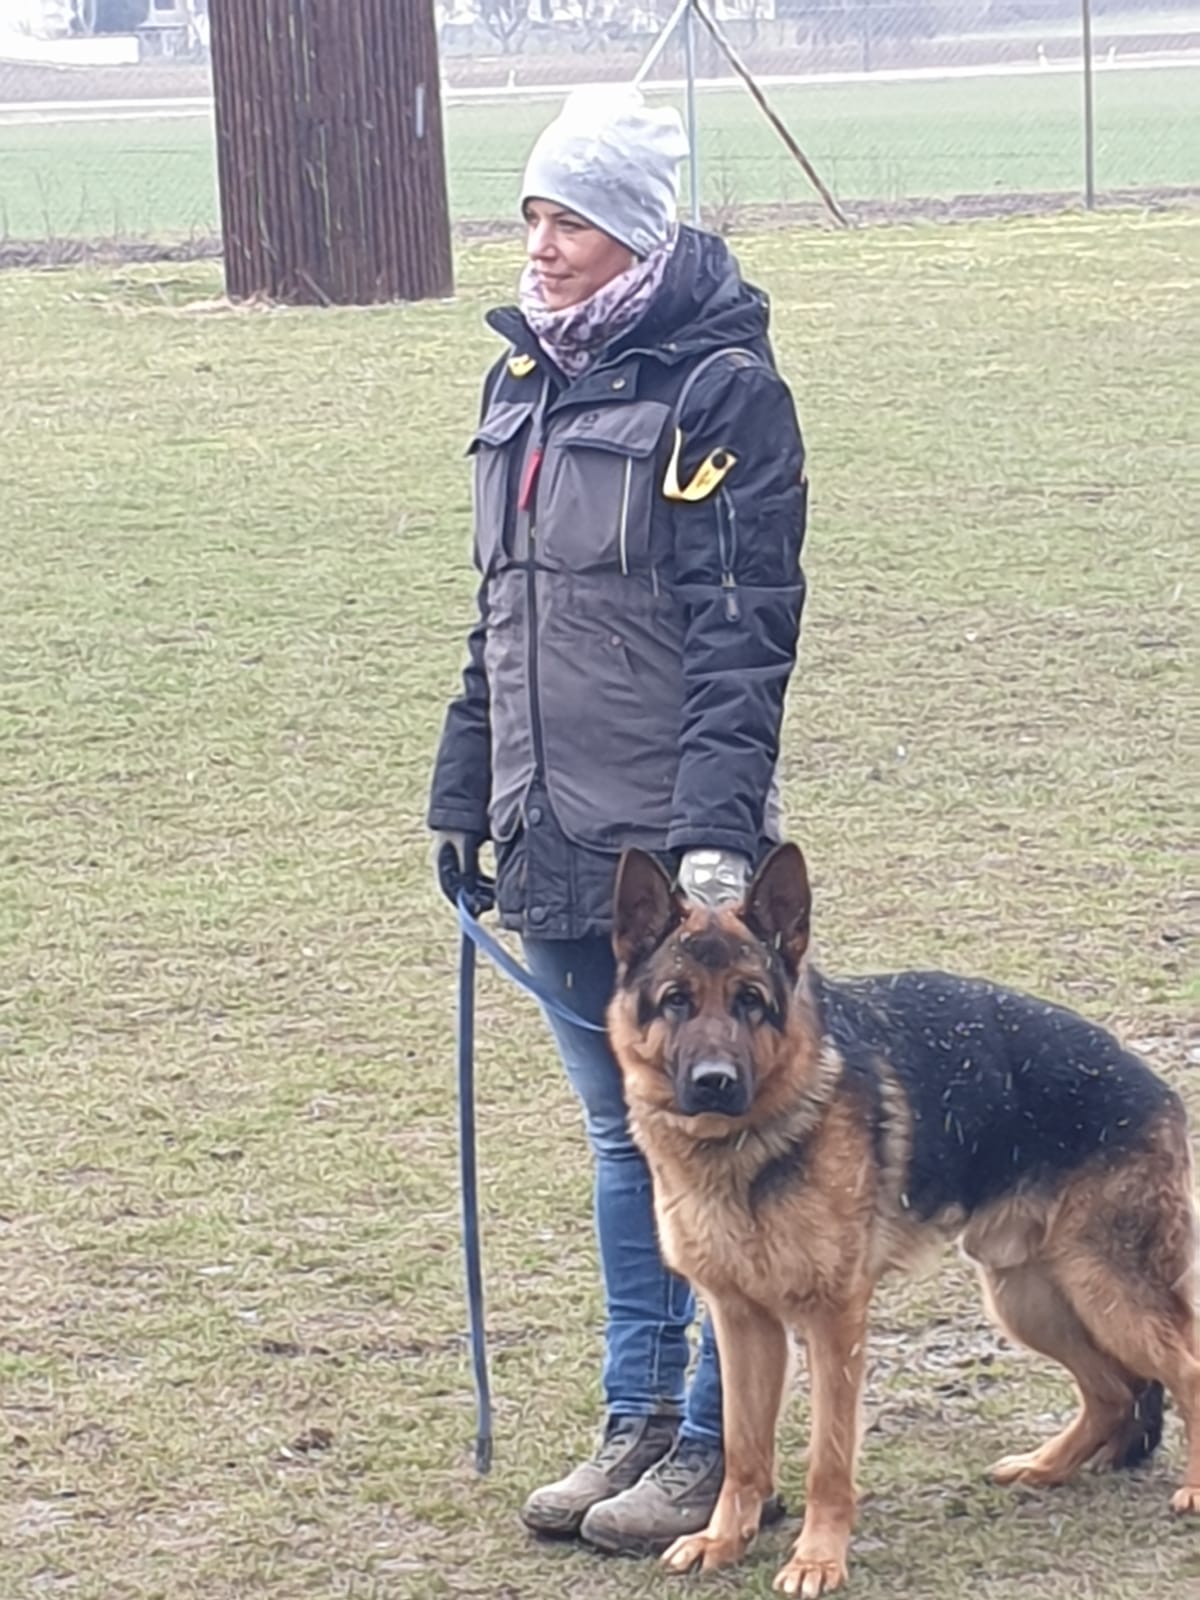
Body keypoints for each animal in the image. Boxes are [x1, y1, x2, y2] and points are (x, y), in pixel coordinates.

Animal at [607, 843, 1199, 1596]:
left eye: (751, 1001)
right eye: (677, 1000)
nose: (715, 1082)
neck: (748, 1146)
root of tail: (1155, 1085)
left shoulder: (834, 1321)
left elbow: (828, 1458)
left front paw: (818, 1558)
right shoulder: (742, 1321)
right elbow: (743, 1448)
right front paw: (723, 1539)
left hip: (1109, 1293)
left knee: (1187, 1369)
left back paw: (1193, 1487)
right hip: (1031, 1298)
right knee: (1113, 1394)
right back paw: (1044, 1465)